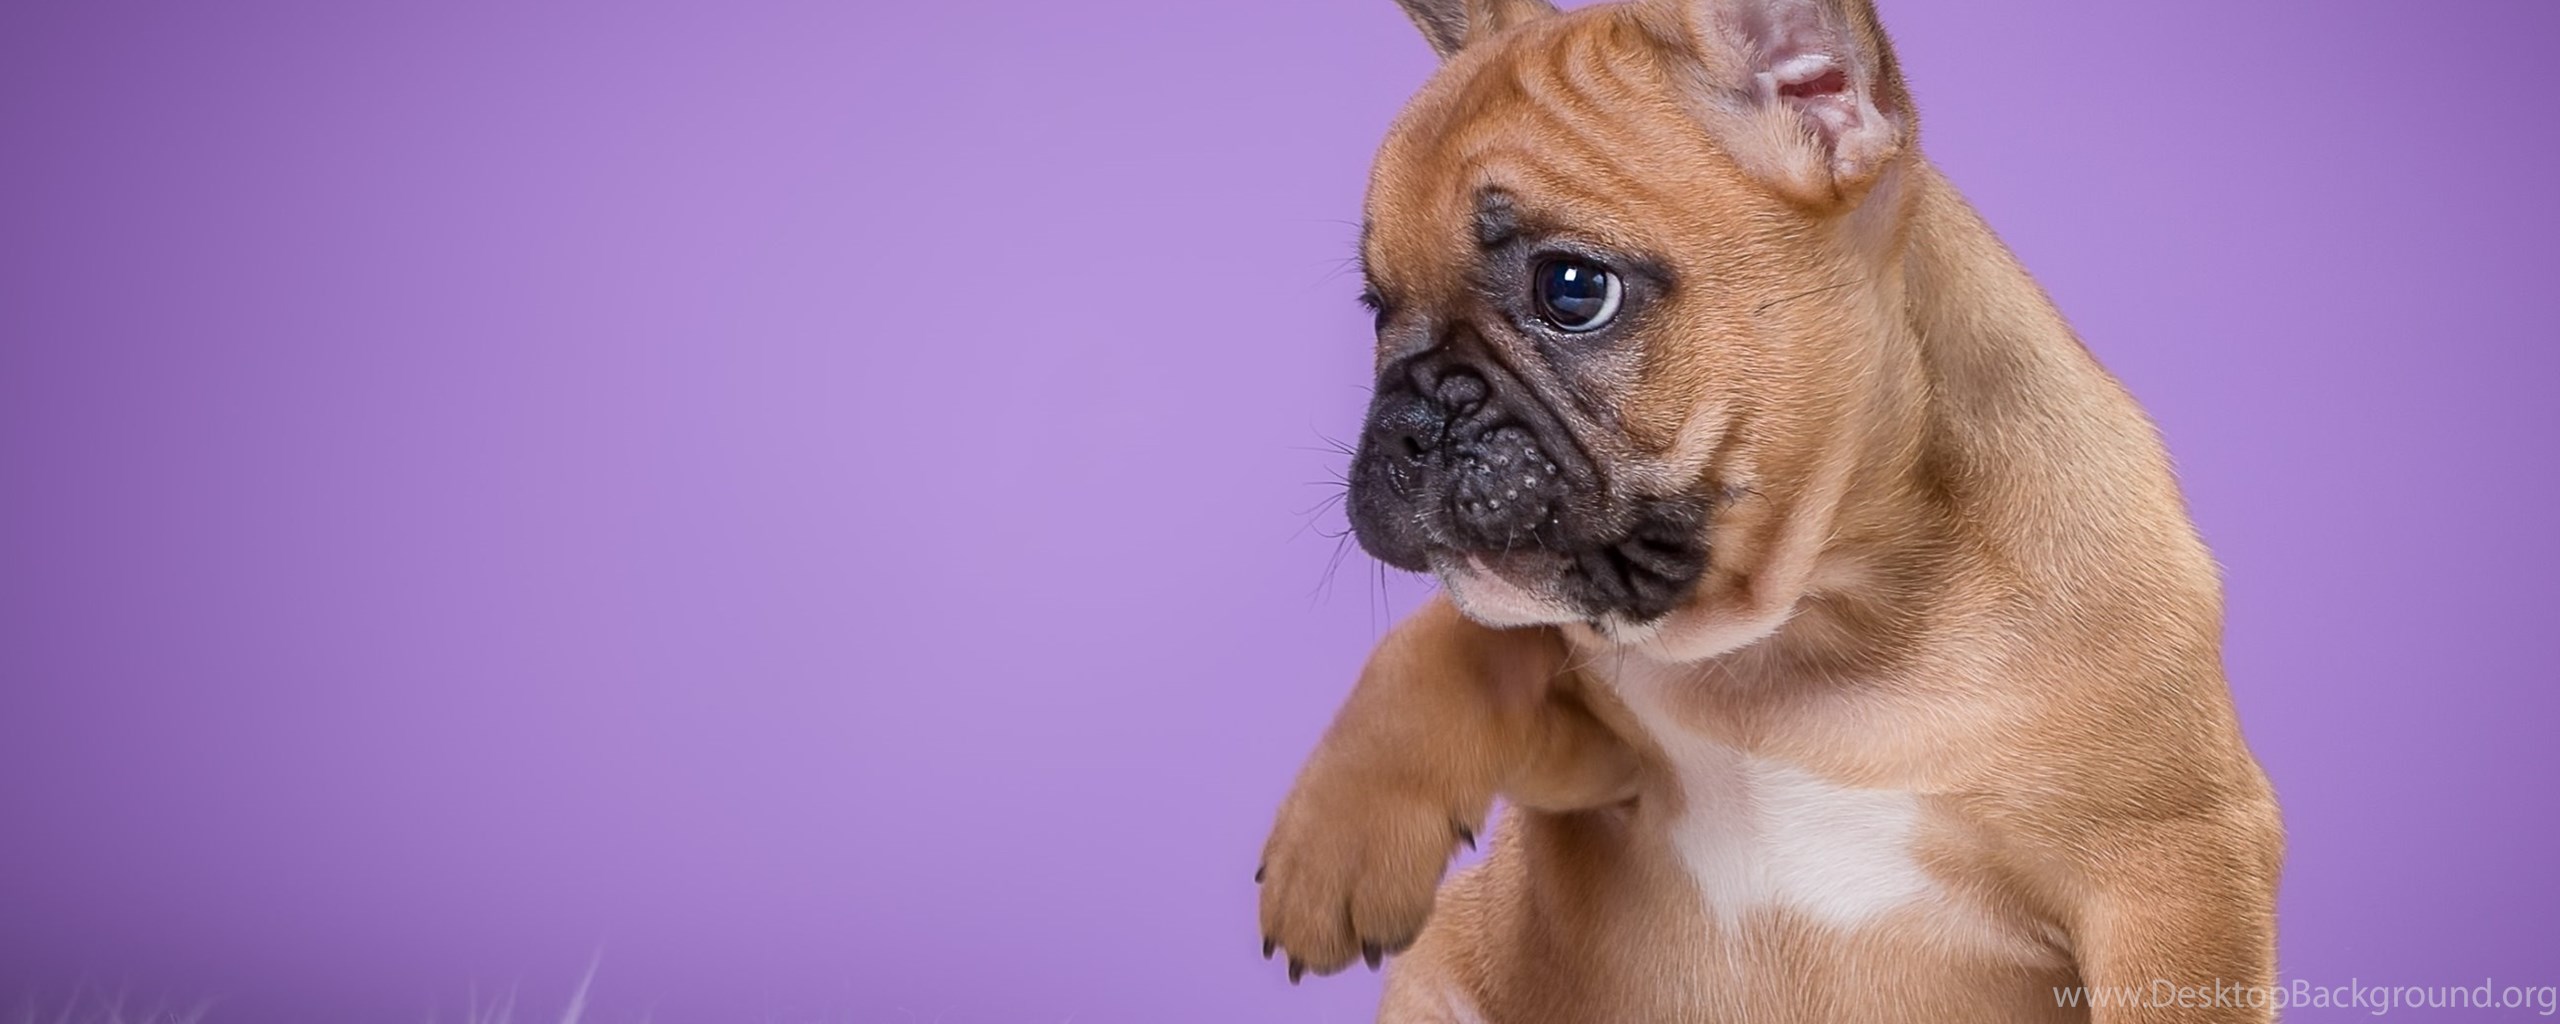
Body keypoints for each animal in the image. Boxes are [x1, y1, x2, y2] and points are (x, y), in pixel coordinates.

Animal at [1253, 0, 2283, 1020]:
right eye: (1377, 307)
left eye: (1573, 290)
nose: (1408, 421)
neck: (1809, 634)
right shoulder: (1594, 772)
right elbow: (1449, 639)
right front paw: (1334, 841)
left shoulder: (2175, 865)